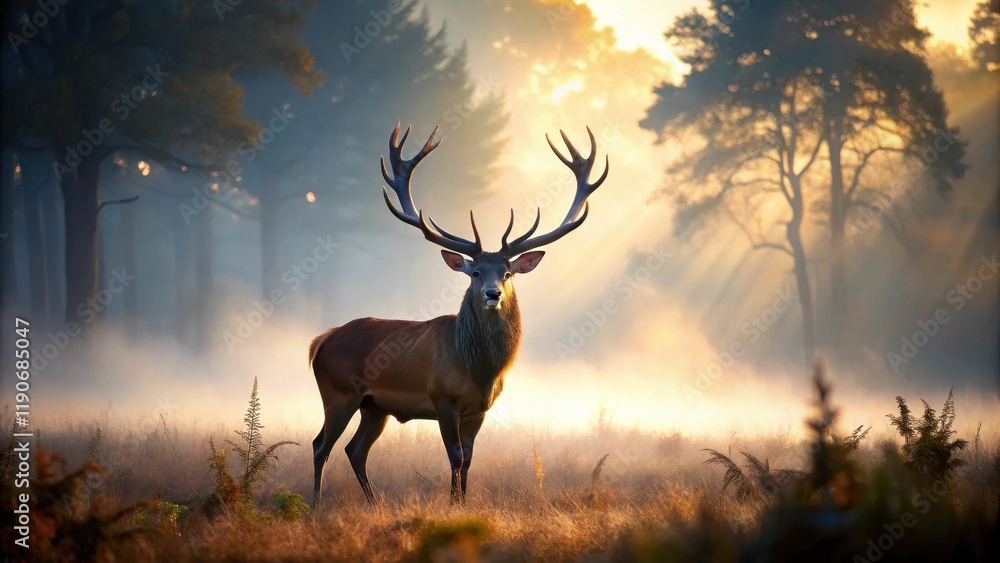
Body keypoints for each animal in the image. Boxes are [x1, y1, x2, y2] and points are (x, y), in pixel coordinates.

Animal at [309, 123, 609, 508]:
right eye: (475, 272)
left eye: (507, 273)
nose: (493, 294)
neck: (477, 368)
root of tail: (320, 341)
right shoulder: (442, 399)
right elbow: (454, 456)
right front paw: (453, 505)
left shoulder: (480, 409)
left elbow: (468, 458)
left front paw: (463, 503)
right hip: (338, 392)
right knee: (321, 445)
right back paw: (316, 503)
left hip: (374, 406)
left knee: (355, 450)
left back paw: (374, 503)